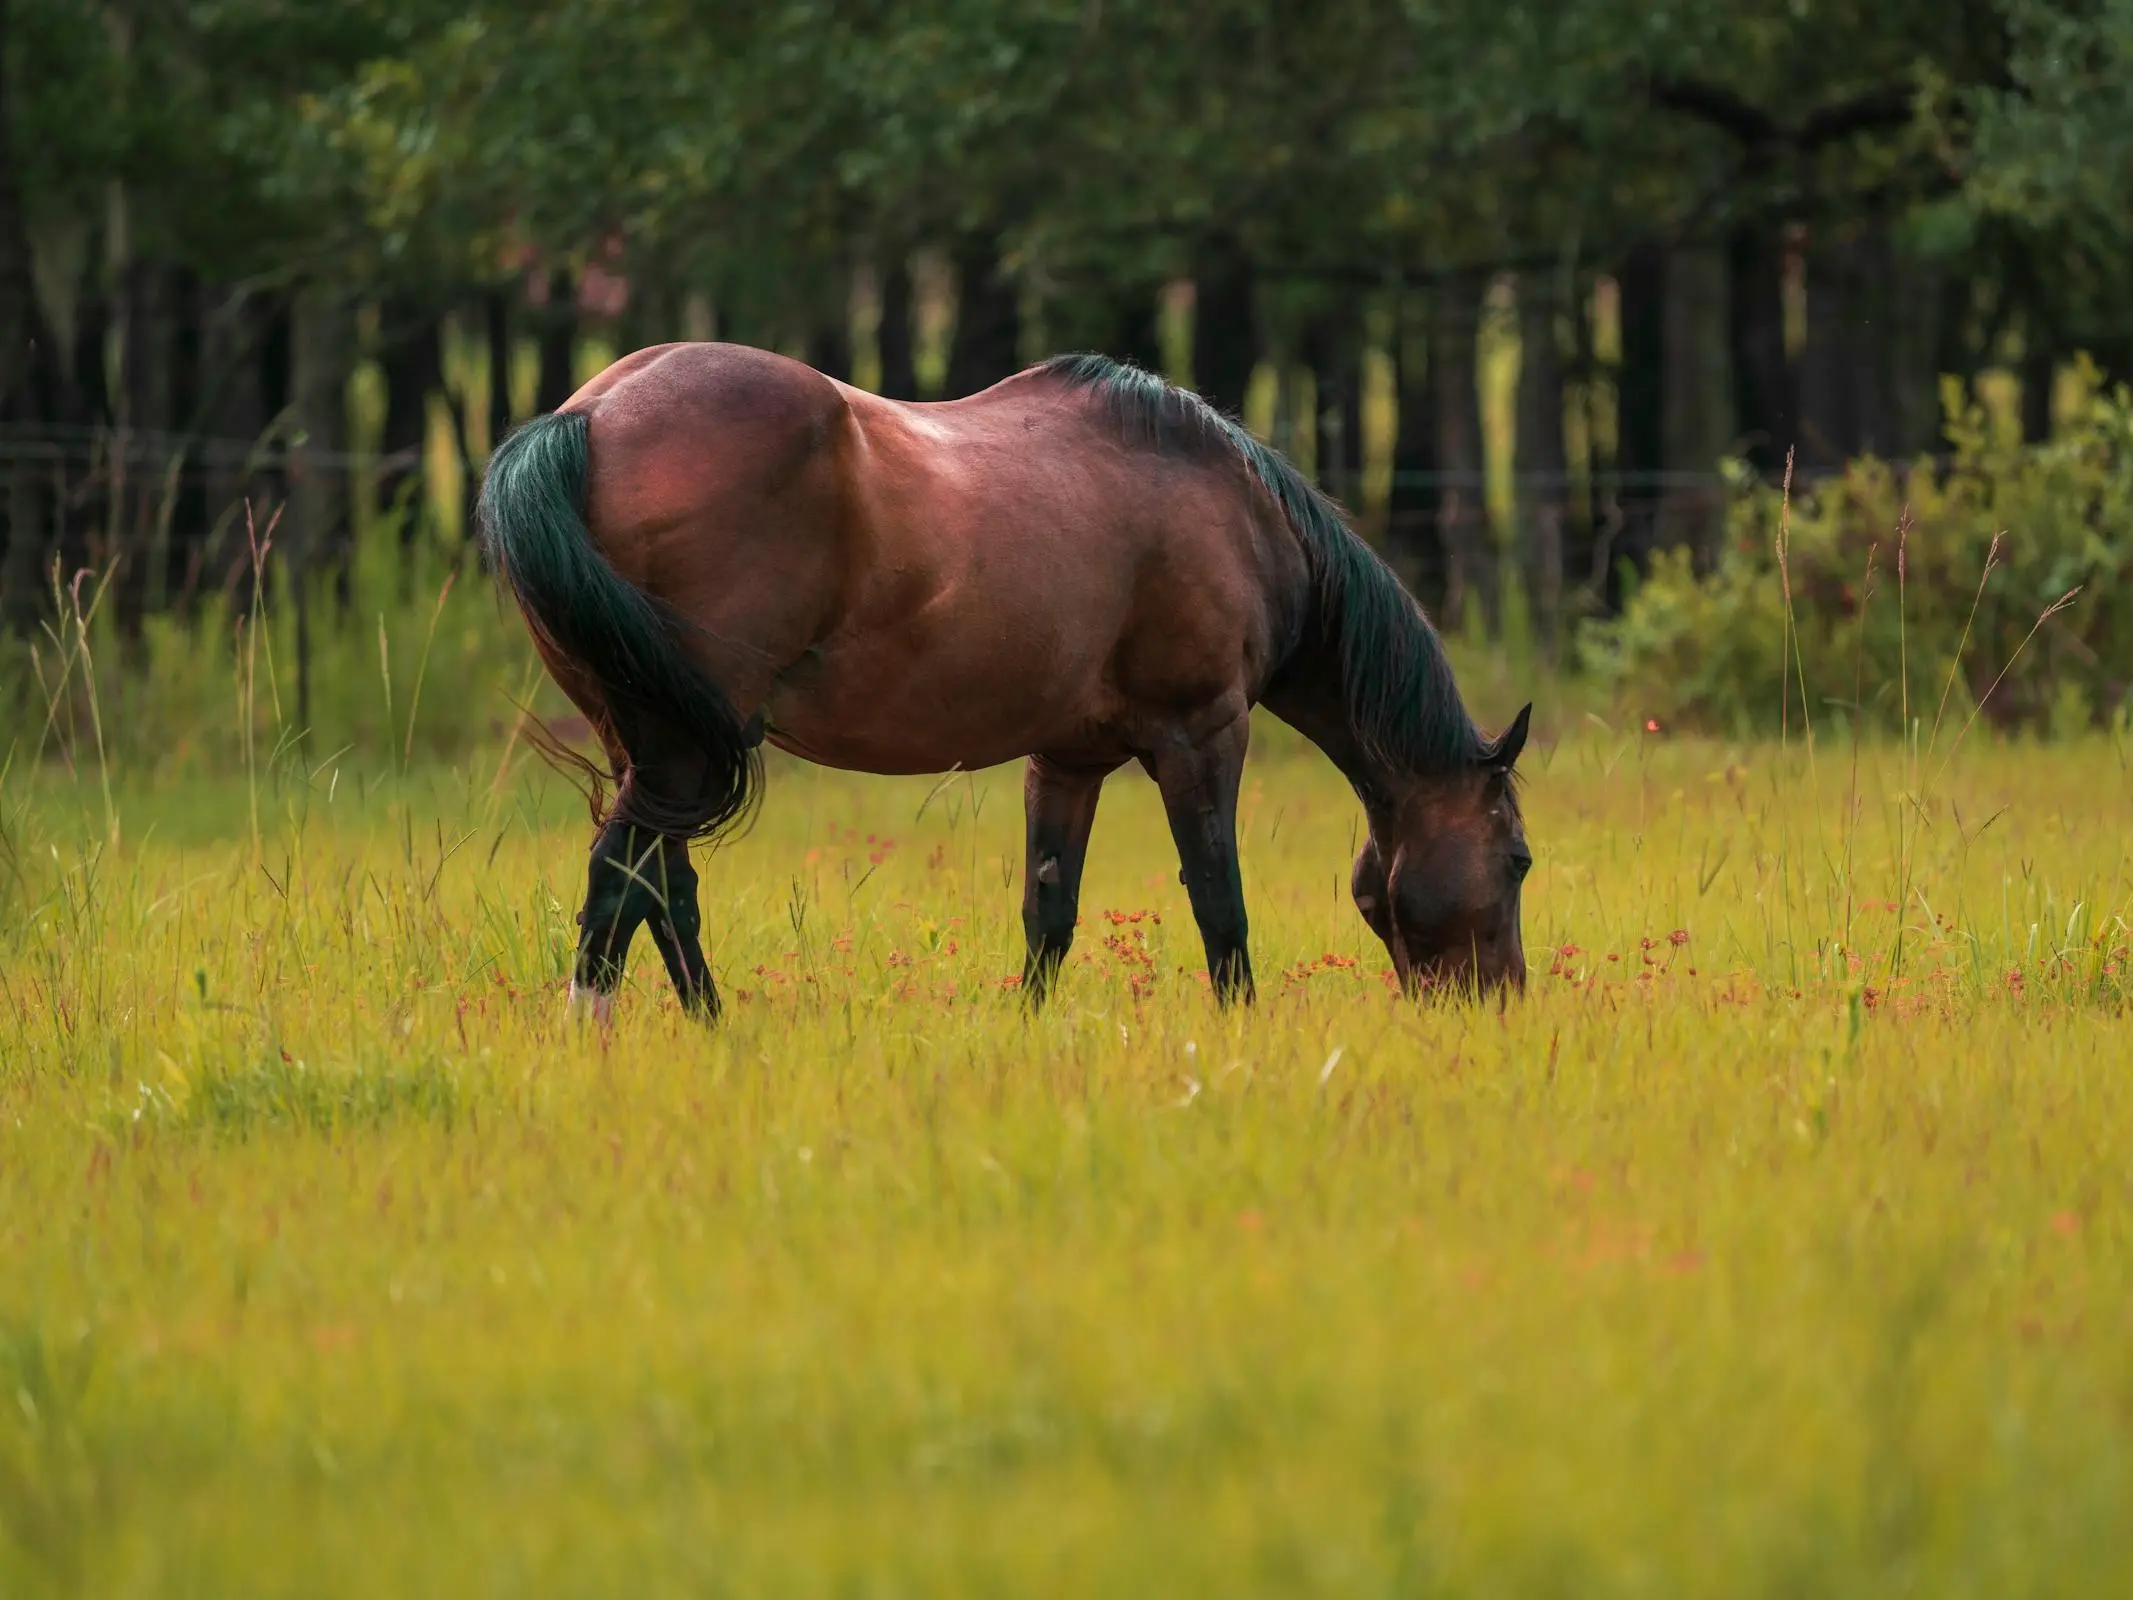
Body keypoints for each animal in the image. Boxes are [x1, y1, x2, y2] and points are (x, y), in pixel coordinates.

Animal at [479, 347, 1535, 1028]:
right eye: (1519, 860)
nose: (1501, 1009)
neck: (1235, 510)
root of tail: (584, 419)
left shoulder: (1065, 759)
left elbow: (1048, 912)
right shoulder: (1202, 735)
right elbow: (1218, 900)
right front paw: (1242, 1031)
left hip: (655, 742)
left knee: (662, 887)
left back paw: (712, 1028)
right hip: (679, 748)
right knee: (621, 880)